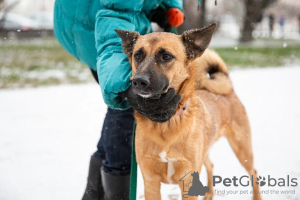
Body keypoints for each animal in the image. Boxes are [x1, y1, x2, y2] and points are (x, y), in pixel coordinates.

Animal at [115, 23, 260, 200]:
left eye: (166, 56)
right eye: (138, 56)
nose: (138, 81)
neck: (166, 122)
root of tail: (229, 91)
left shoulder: (188, 181)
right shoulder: (150, 182)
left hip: (242, 149)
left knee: (254, 172)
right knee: (211, 165)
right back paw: (209, 194)